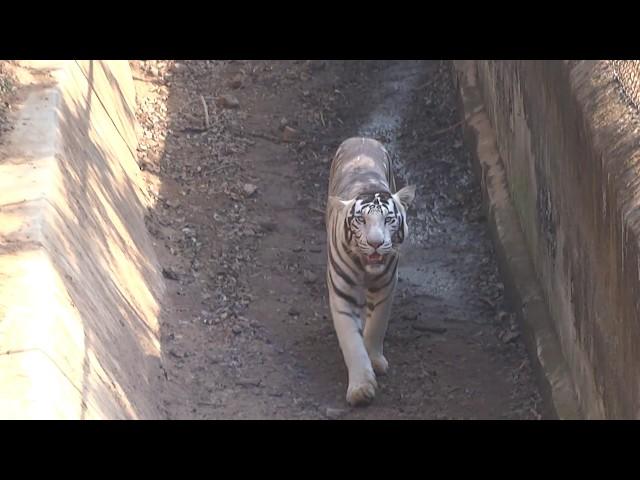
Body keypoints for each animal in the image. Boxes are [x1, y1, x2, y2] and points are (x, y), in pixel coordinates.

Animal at [324, 137, 416, 406]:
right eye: (361, 220)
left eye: (388, 220)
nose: (375, 243)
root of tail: (361, 138)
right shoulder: (342, 295)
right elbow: (351, 342)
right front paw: (361, 388)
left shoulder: (386, 286)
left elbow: (377, 325)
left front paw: (374, 359)